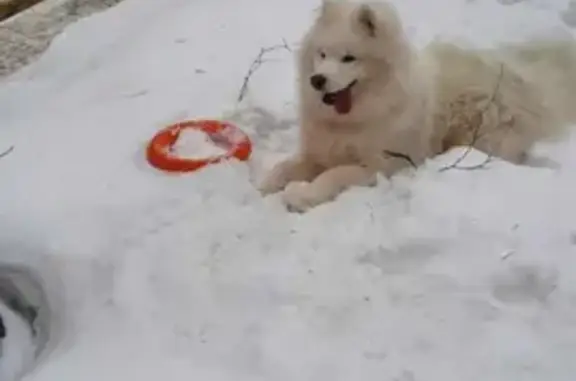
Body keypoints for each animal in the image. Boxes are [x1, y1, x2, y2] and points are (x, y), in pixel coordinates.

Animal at [260, 0, 576, 211]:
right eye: (322, 54)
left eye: (349, 58)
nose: (317, 80)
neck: (353, 120)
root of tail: (523, 76)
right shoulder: (319, 152)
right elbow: (285, 166)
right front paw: (267, 183)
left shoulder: (384, 164)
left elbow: (334, 174)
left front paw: (302, 195)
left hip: (480, 130)